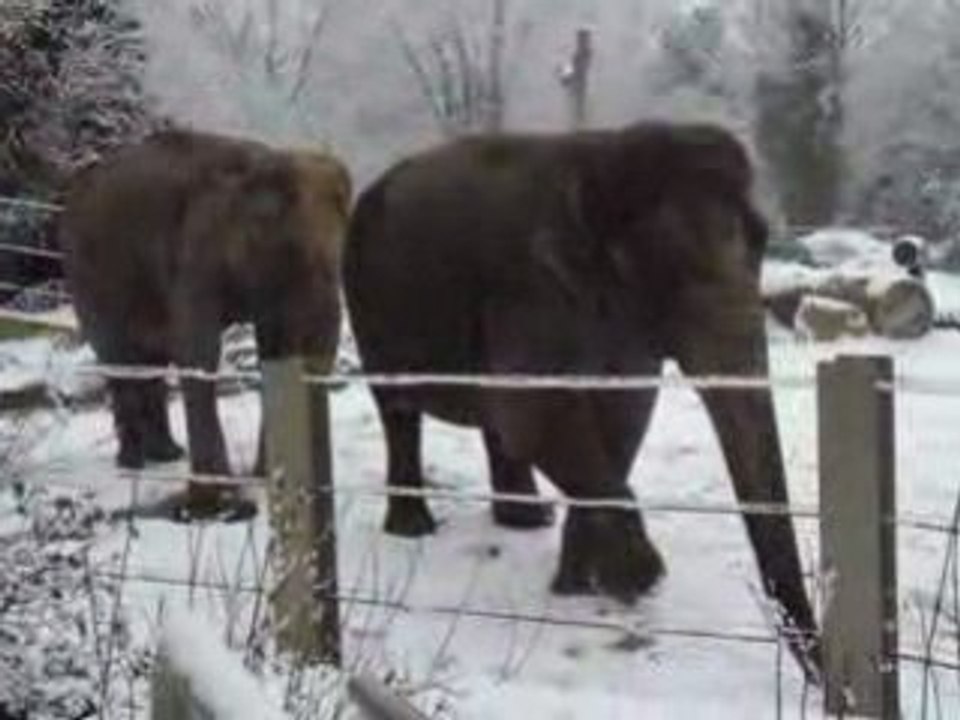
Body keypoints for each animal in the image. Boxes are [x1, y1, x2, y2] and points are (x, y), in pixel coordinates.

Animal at [60, 129, 351, 517]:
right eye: (292, 249)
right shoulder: (196, 253)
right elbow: (200, 351)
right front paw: (216, 500)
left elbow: (275, 346)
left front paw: (263, 478)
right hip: (88, 271)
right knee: (119, 357)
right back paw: (133, 462)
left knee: (150, 360)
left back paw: (166, 455)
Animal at [342, 121, 821, 679]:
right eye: (667, 267)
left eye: (763, 240)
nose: (820, 679)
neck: (601, 155)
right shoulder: (527, 288)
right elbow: (537, 416)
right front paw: (638, 575)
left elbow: (626, 411)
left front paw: (580, 586)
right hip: (368, 303)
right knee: (400, 411)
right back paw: (413, 530)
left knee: (492, 424)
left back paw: (528, 521)